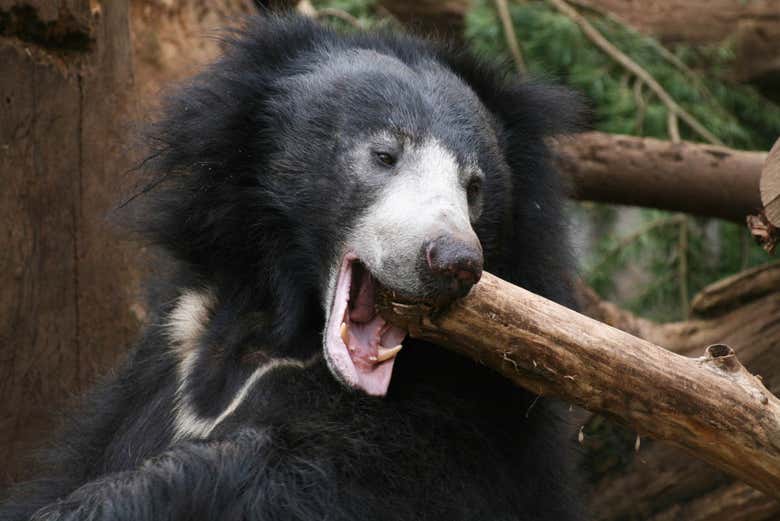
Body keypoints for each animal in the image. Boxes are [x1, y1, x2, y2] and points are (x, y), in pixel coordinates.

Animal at [1, 15, 584, 521]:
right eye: (384, 155)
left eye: (475, 186)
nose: (454, 261)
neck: (287, 336)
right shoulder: (169, 346)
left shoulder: (450, 419)